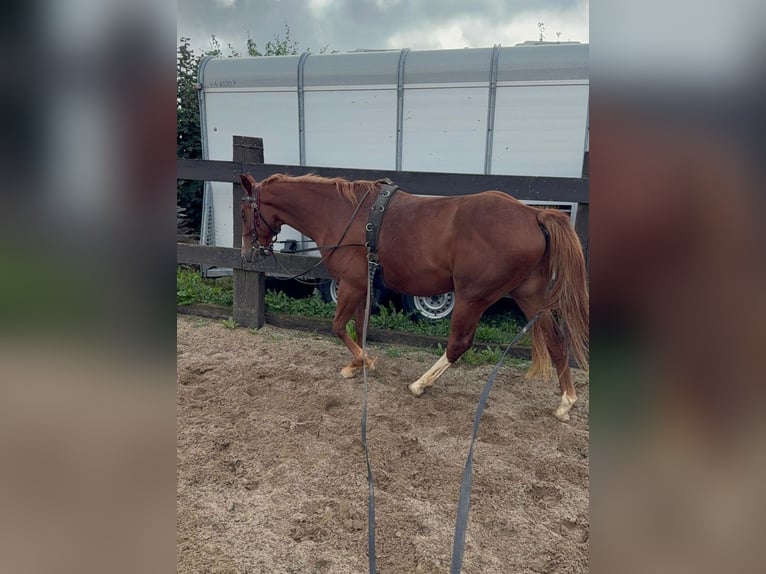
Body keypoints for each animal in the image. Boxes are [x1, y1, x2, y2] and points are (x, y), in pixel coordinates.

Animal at [239, 173, 589, 421]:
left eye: (244, 213)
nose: (246, 254)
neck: (341, 214)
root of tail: (532, 214)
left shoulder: (351, 284)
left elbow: (338, 326)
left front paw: (362, 361)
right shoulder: (364, 285)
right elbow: (360, 325)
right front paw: (358, 363)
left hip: (472, 296)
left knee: (458, 344)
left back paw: (420, 384)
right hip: (530, 296)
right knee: (557, 341)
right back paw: (566, 401)